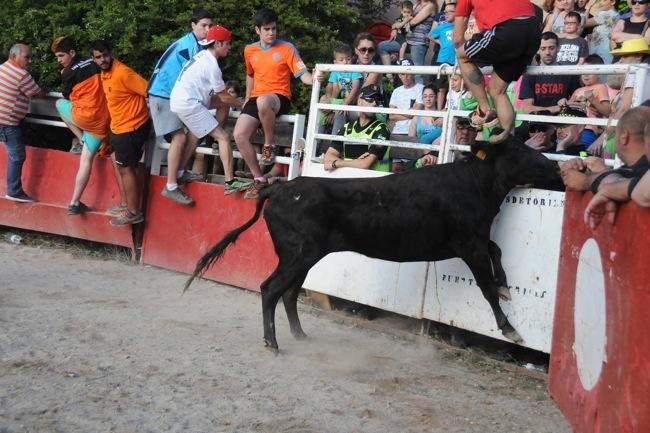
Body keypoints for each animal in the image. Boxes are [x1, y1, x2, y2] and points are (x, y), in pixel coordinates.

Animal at [182, 137, 560, 352]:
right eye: (519, 149)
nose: (556, 169)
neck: (475, 183)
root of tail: (279, 187)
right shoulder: (469, 245)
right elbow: (486, 288)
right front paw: (511, 330)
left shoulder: (476, 241)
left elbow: (497, 253)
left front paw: (508, 286)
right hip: (297, 255)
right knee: (270, 289)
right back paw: (272, 343)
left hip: (304, 257)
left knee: (288, 293)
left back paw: (300, 336)